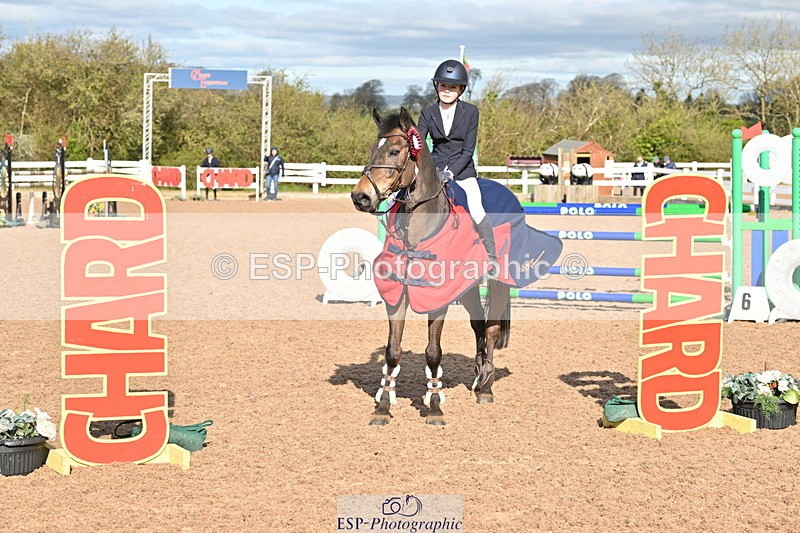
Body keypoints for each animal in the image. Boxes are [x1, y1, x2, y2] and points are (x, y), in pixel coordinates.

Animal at [352, 107, 561, 426]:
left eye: (394, 151)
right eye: (371, 149)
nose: (360, 197)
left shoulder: (438, 299)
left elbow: (433, 352)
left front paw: (435, 408)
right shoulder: (396, 296)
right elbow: (392, 352)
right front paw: (383, 407)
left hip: (498, 281)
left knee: (492, 328)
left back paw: (486, 386)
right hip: (470, 287)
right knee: (478, 325)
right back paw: (477, 374)